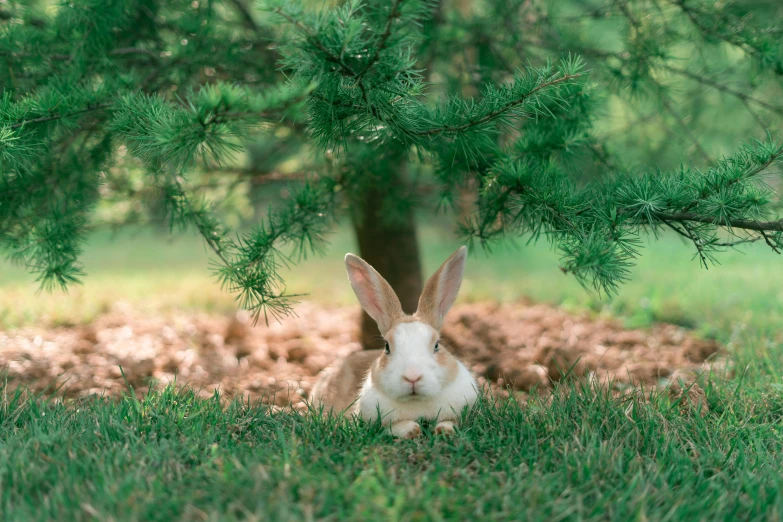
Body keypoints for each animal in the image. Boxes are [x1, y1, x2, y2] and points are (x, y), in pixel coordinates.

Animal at [308, 246, 478, 436]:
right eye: (387, 347)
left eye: (436, 345)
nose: (412, 377)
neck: (416, 402)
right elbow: (396, 427)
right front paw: (412, 430)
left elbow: (450, 421)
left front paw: (444, 430)